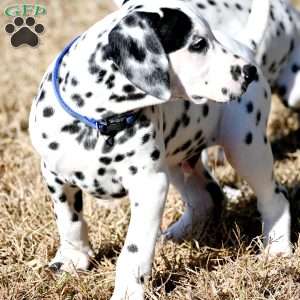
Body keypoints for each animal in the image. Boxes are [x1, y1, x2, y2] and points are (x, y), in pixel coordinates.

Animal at [29, 0, 290, 300]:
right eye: (198, 44)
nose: (248, 72)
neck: (99, 121)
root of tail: (246, 46)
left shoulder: (149, 186)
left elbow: (134, 251)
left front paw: (127, 292)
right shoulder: (54, 175)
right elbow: (69, 220)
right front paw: (73, 259)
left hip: (245, 147)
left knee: (275, 197)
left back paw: (278, 248)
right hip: (178, 160)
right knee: (206, 197)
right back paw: (179, 234)